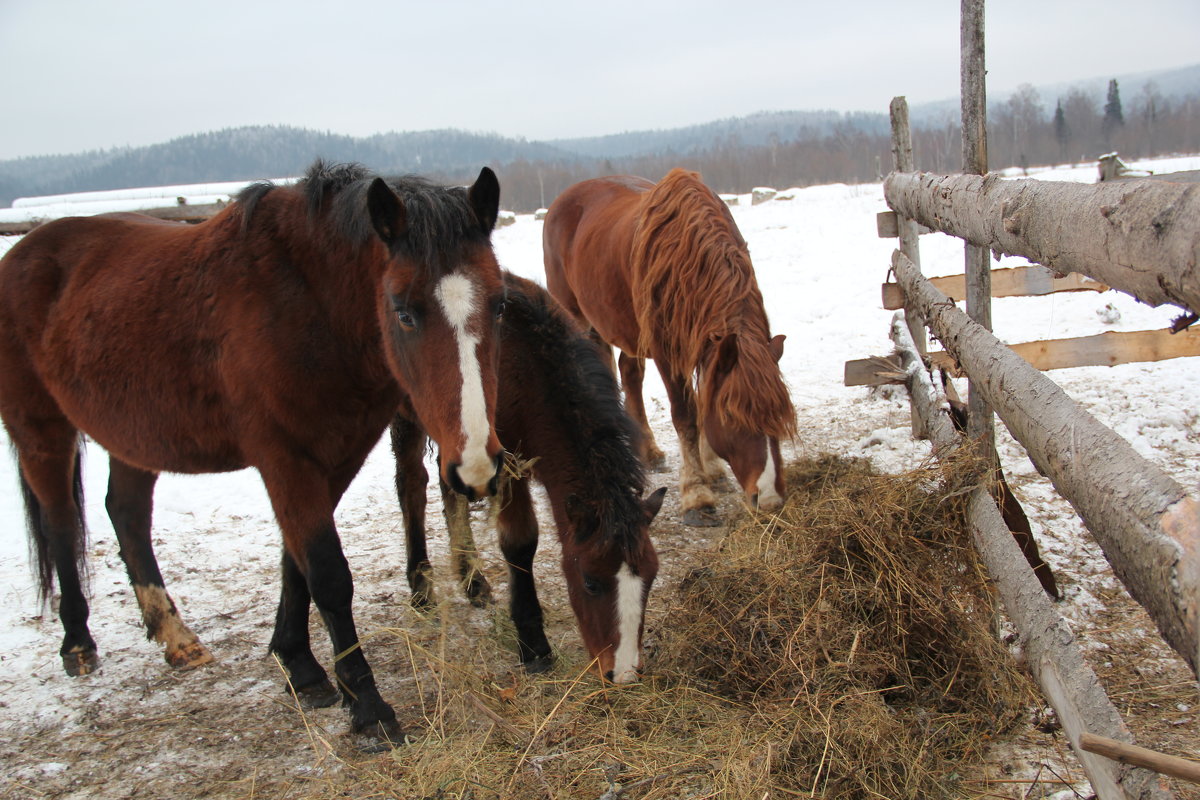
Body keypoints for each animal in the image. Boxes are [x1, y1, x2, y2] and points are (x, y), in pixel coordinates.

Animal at [0, 160, 506, 738]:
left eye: (500, 305)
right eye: (403, 312)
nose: (476, 466)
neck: (306, 303)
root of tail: (22, 253)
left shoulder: (337, 456)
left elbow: (296, 563)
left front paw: (301, 668)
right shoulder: (286, 460)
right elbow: (328, 575)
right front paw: (368, 706)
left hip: (135, 439)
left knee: (126, 514)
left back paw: (175, 637)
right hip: (42, 431)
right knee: (62, 523)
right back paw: (78, 644)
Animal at [388, 273, 667, 681]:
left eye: (651, 577)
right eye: (590, 581)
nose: (624, 673)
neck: (526, 367)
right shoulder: (505, 468)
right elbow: (520, 542)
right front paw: (534, 645)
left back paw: (473, 580)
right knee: (411, 484)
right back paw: (422, 587)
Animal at [544, 169, 796, 527]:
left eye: (780, 413)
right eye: (732, 416)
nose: (771, 498)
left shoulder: (705, 348)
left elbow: (703, 401)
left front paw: (712, 468)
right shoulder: (668, 353)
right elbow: (686, 416)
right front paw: (697, 495)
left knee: (630, 374)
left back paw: (648, 450)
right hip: (580, 318)